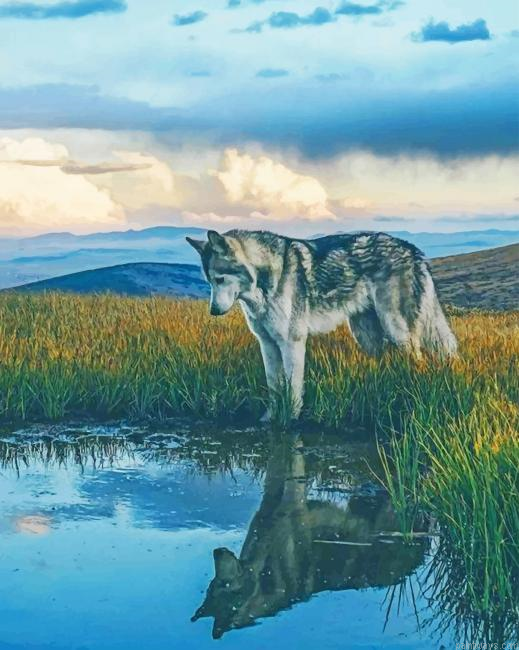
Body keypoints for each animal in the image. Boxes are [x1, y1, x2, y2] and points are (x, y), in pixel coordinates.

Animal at [187, 229, 457, 419]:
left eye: (220, 279)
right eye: (209, 281)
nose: (213, 311)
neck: (264, 282)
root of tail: (414, 250)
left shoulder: (292, 342)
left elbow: (293, 390)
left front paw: (290, 421)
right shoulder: (268, 344)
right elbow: (274, 388)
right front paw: (271, 418)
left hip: (398, 331)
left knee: (419, 361)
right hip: (366, 336)